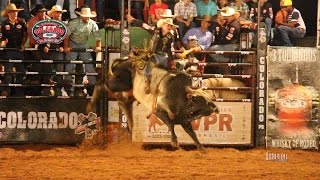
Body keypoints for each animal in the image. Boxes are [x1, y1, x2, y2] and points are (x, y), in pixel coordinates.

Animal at [86, 54, 219, 150]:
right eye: (201, 100)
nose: (216, 108)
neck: (179, 96)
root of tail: (125, 61)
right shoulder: (158, 111)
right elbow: (170, 124)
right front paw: (174, 142)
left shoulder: (183, 119)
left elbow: (191, 132)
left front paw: (201, 148)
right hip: (120, 83)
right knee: (101, 84)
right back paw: (91, 106)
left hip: (129, 92)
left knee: (123, 103)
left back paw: (131, 124)